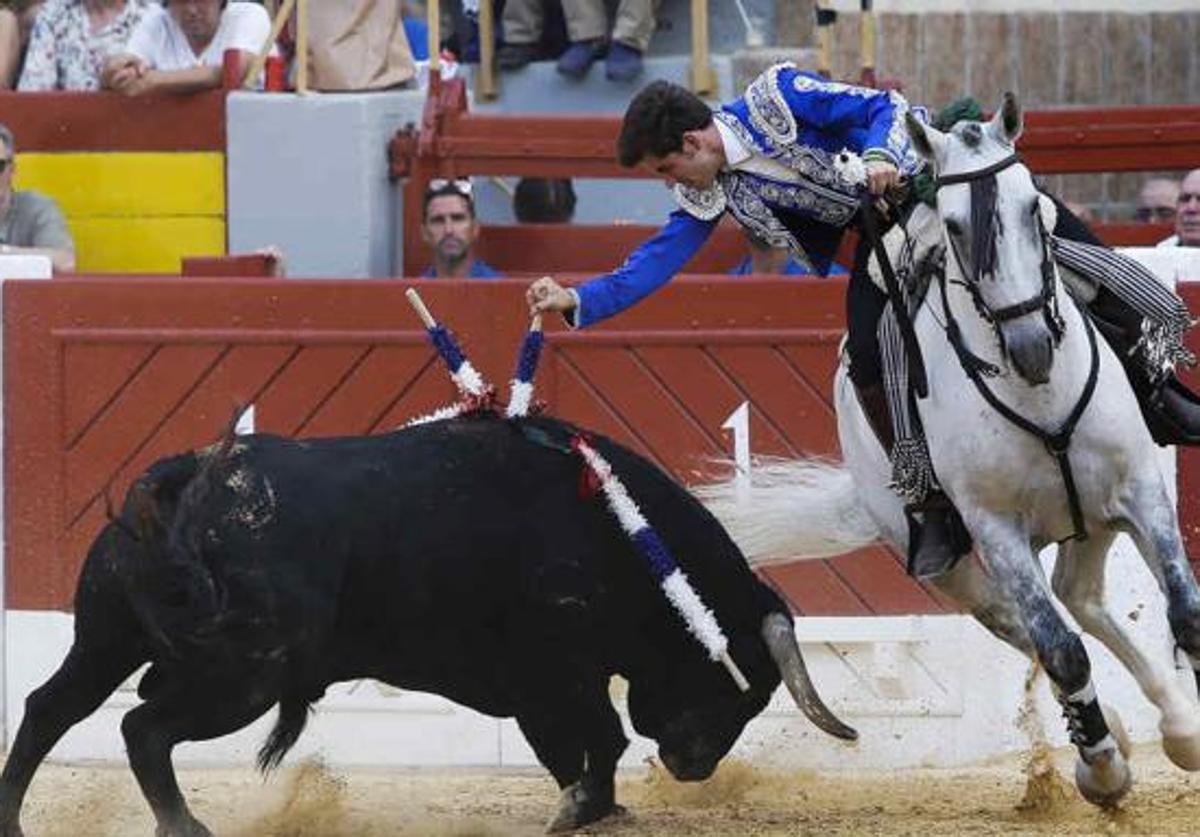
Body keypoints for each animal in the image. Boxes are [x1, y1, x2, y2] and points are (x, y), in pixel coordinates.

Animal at [0, 414, 854, 829]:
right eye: (744, 688)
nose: (694, 764)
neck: (611, 530)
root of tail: (181, 477)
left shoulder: (539, 687)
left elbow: (576, 749)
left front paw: (595, 808)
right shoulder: (553, 673)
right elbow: (598, 740)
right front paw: (581, 809)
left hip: (108, 639)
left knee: (50, 708)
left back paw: (13, 816)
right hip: (241, 675)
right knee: (141, 728)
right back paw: (187, 826)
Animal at [700, 94, 1200, 805]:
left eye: (1031, 206)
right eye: (958, 227)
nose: (1030, 345)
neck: (1037, 393)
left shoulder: (1140, 491)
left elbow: (1185, 612)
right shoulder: (997, 530)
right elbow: (1060, 647)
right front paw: (1103, 766)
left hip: (1090, 518)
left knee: (1079, 598)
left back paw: (1176, 727)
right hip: (956, 561)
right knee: (1033, 622)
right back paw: (1114, 741)